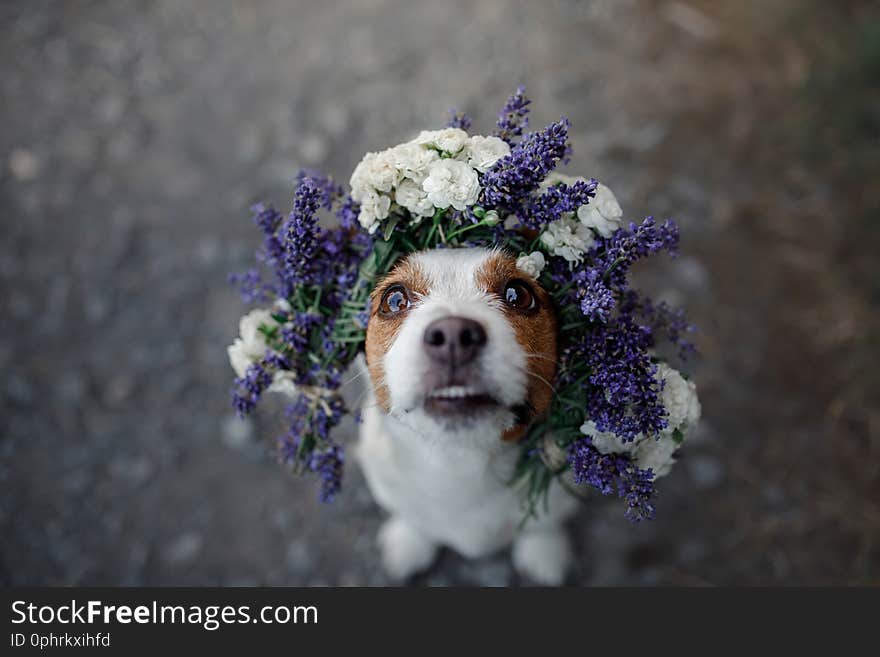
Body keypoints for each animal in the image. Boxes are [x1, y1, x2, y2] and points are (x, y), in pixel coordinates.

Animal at [354, 246, 580, 584]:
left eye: (518, 294)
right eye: (393, 299)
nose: (453, 335)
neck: (459, 464)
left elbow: (544, 524)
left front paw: (544, 552)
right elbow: (413, 517)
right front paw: (410, 542)